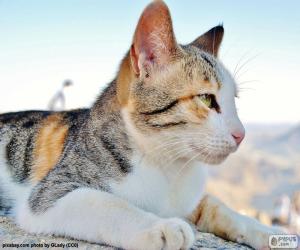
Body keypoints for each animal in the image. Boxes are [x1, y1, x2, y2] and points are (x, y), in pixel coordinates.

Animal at [0, 0, 282, 249]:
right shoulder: (51, 192)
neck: (167, 167)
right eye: (206, 98)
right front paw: (161, 226)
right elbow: (106, 203)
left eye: (234, 100)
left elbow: (216, 205)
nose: (241, 134)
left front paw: (267, 232)